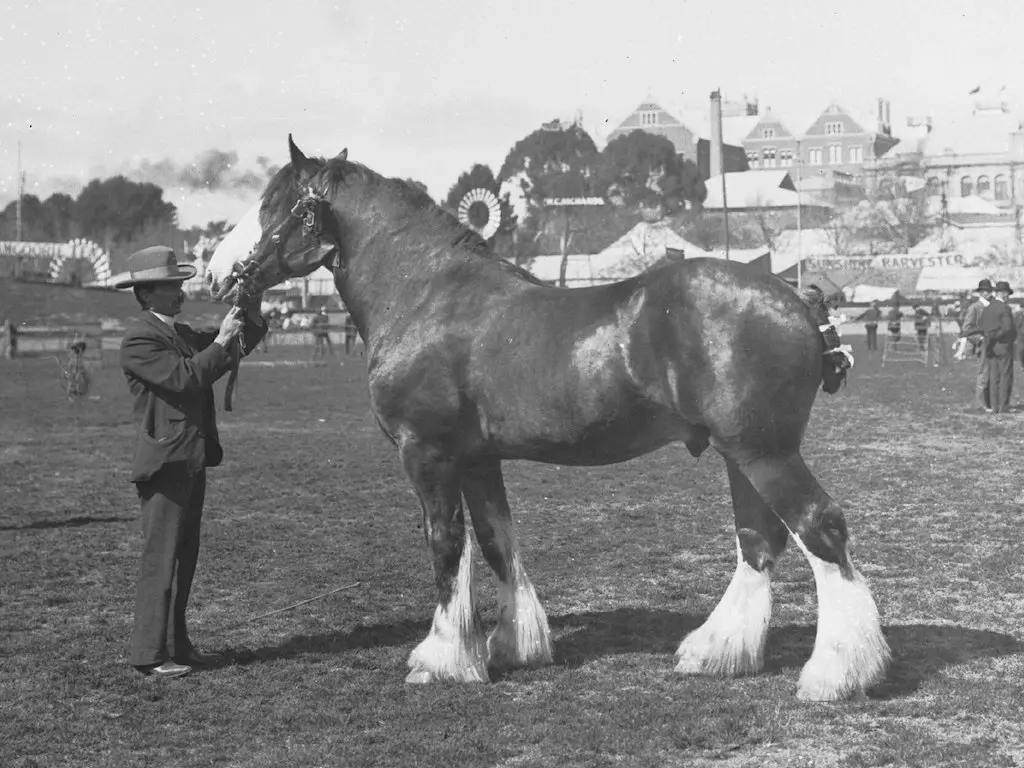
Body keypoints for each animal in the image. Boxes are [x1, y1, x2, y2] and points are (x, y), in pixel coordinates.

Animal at [205, 135, 888, 700]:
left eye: (274, 204)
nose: (213, 272)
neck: (425, 295)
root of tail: (796, 298)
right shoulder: (478, 460)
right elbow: (496, 542)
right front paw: (513, 647)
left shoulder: (426, 454)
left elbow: (445, 544)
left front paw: (441, 659)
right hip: (738, 453)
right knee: (760, 541)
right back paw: (718, 652)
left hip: (764, 452)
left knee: (820, 529)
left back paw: (836, 674)